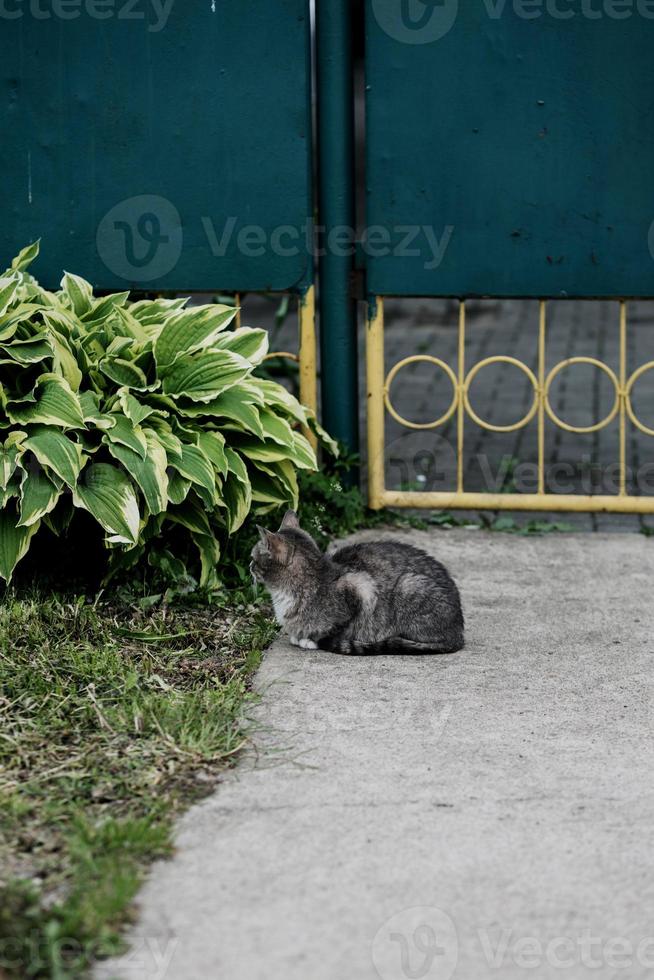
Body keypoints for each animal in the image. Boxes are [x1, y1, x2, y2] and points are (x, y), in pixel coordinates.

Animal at [249, 510, 464, 656]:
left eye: (253, 557)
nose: (249, 565)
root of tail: (458, 634)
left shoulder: (362, 589)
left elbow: (335, 628)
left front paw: (309, 640)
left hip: (409, 586)